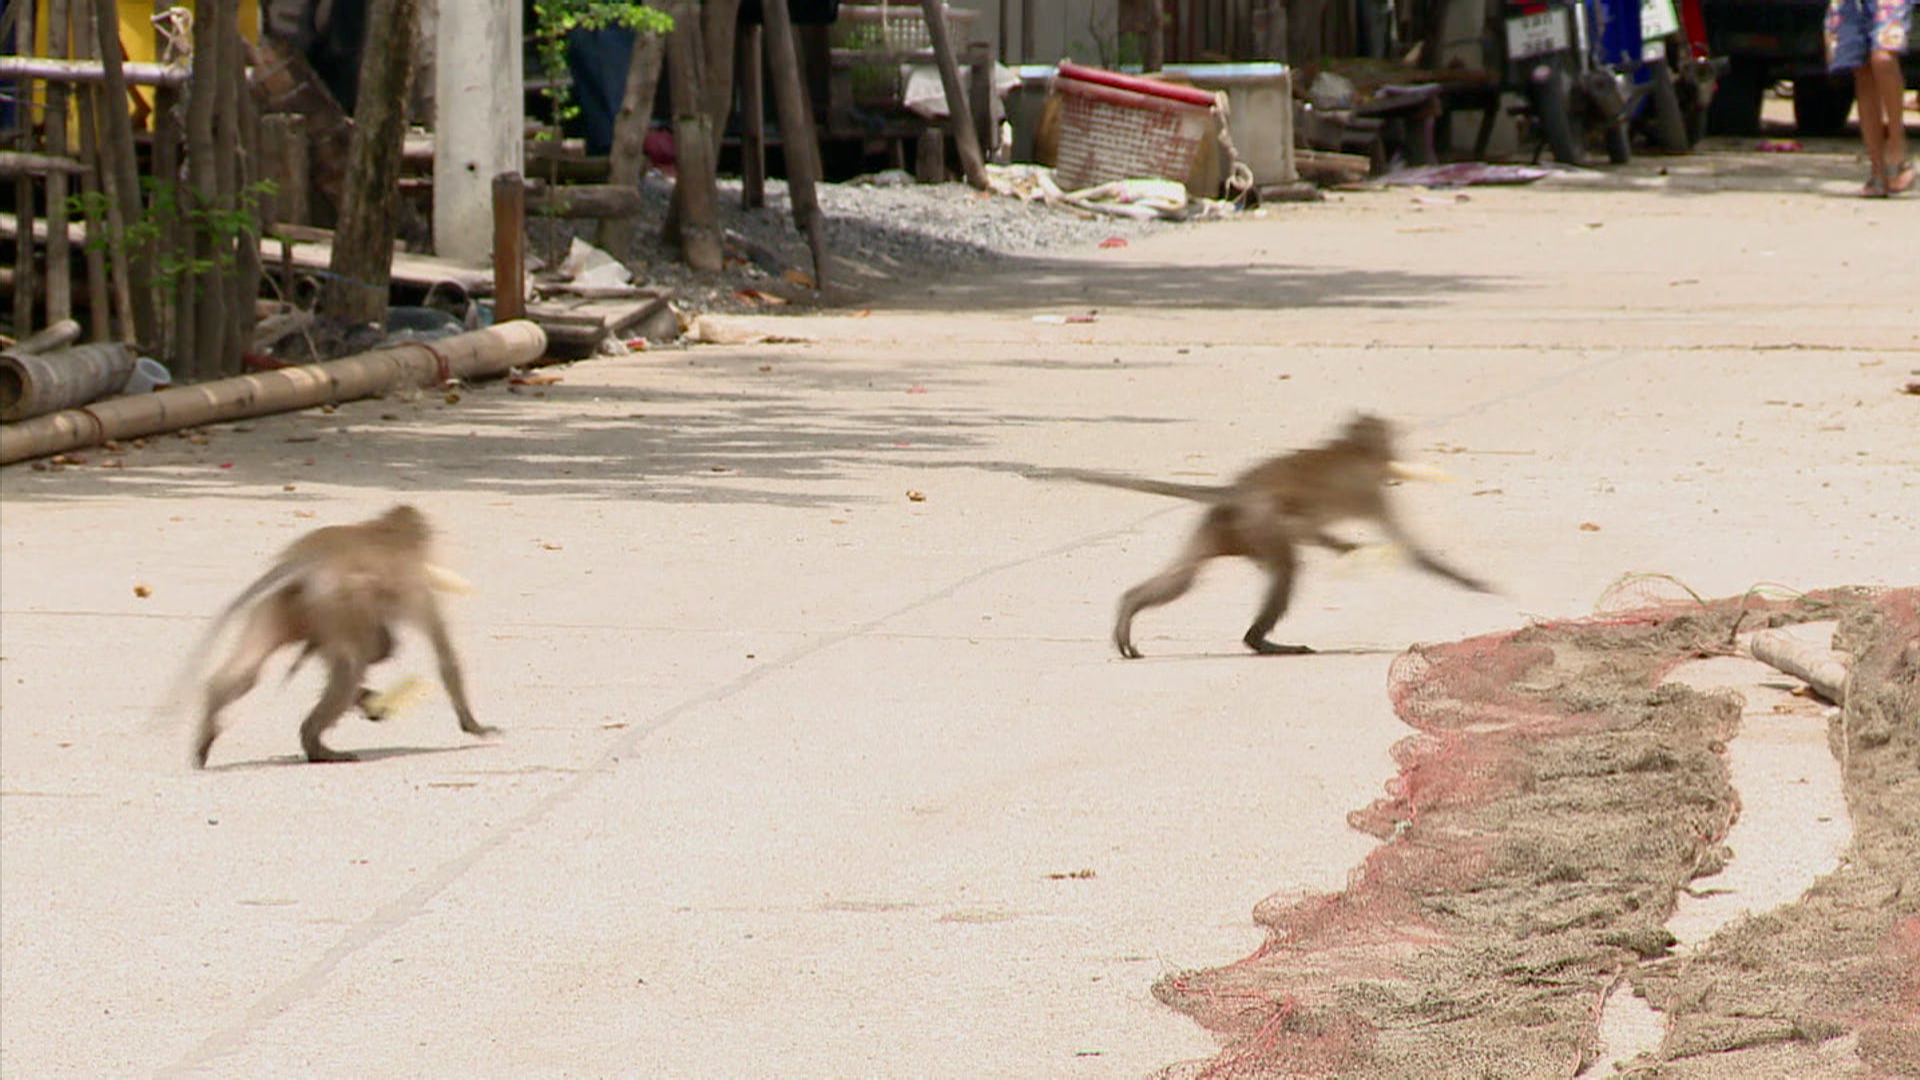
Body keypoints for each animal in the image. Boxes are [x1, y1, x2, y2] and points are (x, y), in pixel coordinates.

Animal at [185, 503, 495, 764]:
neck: (387, 532)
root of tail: (304, 560)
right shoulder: (415, 586)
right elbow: (444, 656)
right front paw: (474, 726)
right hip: (331, 599)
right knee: (350, 666)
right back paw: (317, 746)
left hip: (281, 606)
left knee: (250, 671)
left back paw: (210, 716)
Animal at [1067, 413, 1497, 657]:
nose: (1395, 450)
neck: (1350, 448)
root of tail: (1235, 493)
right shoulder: (1368, 491)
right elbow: (1413, 552)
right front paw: (1473, 582)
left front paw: (1340, 546)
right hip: (1252, 524)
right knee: (1285, 567)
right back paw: (1261, 642)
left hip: (1218, 529)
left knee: (1184, 578)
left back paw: (1130, 605)